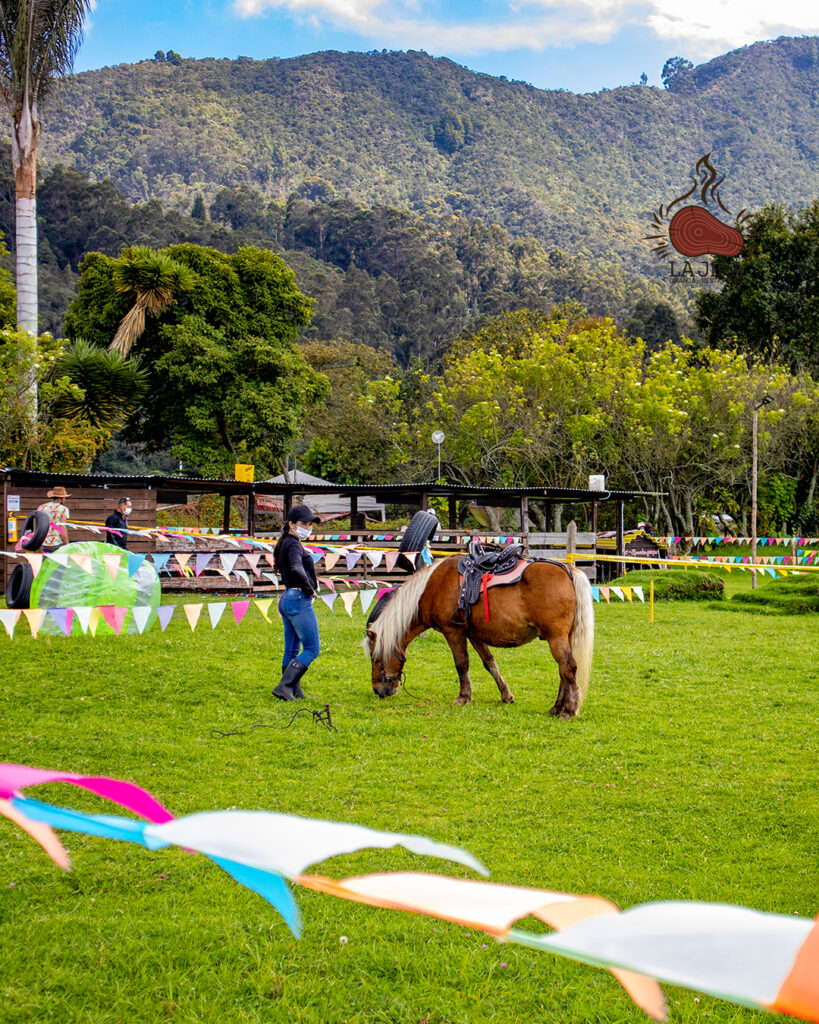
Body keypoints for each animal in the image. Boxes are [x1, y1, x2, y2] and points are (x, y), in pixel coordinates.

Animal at [364, 557, 593, 716]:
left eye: (375, 659)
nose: (377, 690)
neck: (431, 587)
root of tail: (568, 570)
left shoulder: (453, 632)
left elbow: (461, 664)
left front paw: (464, 697)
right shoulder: (474, 635)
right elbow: (490, 663)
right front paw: (505, 695)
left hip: (556, 637)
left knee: (568, 668)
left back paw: (568, 710)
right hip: (563, 637)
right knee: (564, 671)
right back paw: (557, 707)